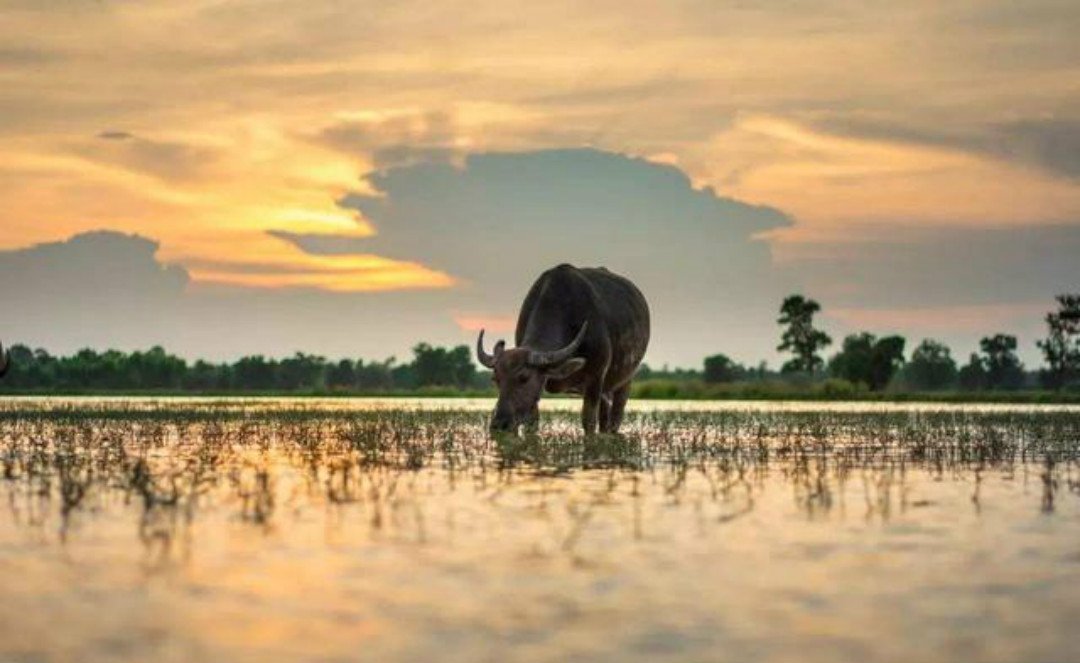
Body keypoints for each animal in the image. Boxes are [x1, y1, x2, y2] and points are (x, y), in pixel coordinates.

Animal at [475, 264, 643, 436]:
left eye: (524, 377)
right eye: (495, 379)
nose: (499, 425)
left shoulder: (596, 378)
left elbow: (589, 422)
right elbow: (532, 425)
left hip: (625, 380)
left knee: (616, 416)